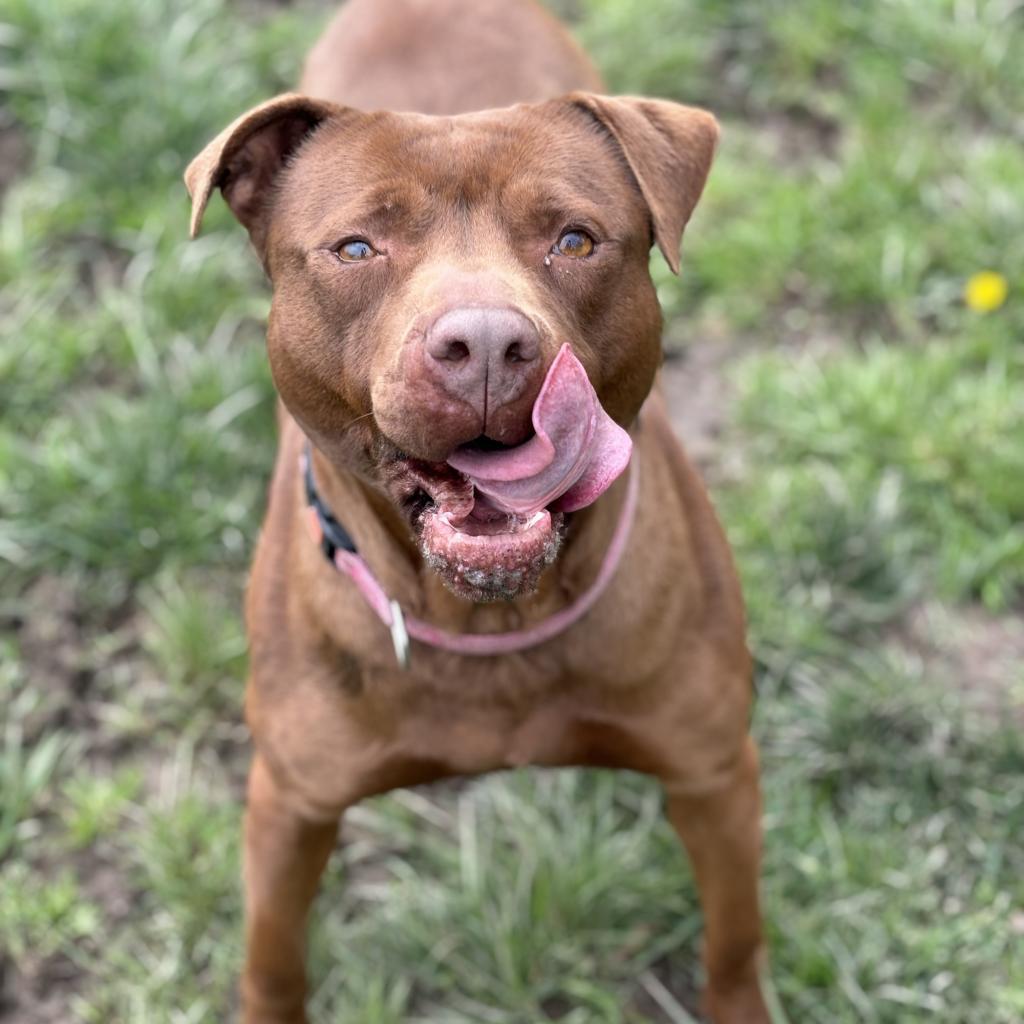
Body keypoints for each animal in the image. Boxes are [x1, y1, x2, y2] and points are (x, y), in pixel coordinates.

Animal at [186, 2, 770, 1024]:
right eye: (357, 249)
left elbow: (734, 948)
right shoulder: (291, 806)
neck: (491, 619)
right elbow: (273, 961)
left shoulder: (714, 776)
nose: (488, 344)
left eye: (574, 240)